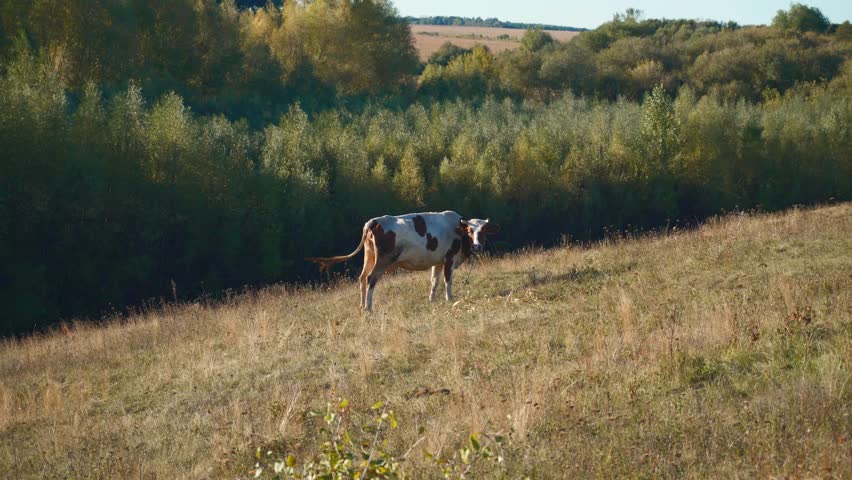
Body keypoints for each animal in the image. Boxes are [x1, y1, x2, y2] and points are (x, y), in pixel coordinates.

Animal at [306, 211, 499, 311]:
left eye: (483, 231)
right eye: (470, 231)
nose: (477, 246)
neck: (457, 229)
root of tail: (375, 221)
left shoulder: (438, 260)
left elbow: (434, 281)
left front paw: (432, 299)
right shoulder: (449, 258)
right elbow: (447, 280)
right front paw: (449, 298)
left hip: (369, 256)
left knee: (362, 278)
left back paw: (361, 305)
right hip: (381, 261)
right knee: (370, 279)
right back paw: (368, 307)